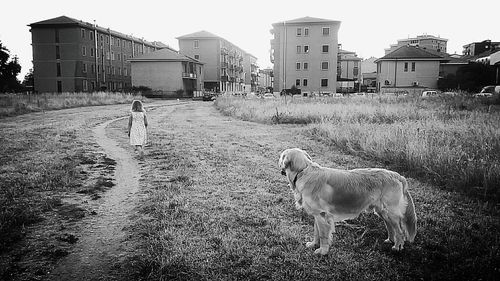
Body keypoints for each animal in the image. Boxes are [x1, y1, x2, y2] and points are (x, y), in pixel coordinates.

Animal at [280, 148, 416, 255]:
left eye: (281, 156)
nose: (278, 160)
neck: (303, 172)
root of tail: (398, 175)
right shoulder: (317, 215)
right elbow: (316, 232)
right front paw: (313, 244)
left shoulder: (322, 215)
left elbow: (323, 235)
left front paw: (322, 251)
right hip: (382, 211)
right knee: (390, 227)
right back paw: (389, 240)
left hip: (390, 212)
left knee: (400, 232)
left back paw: (397, 247)